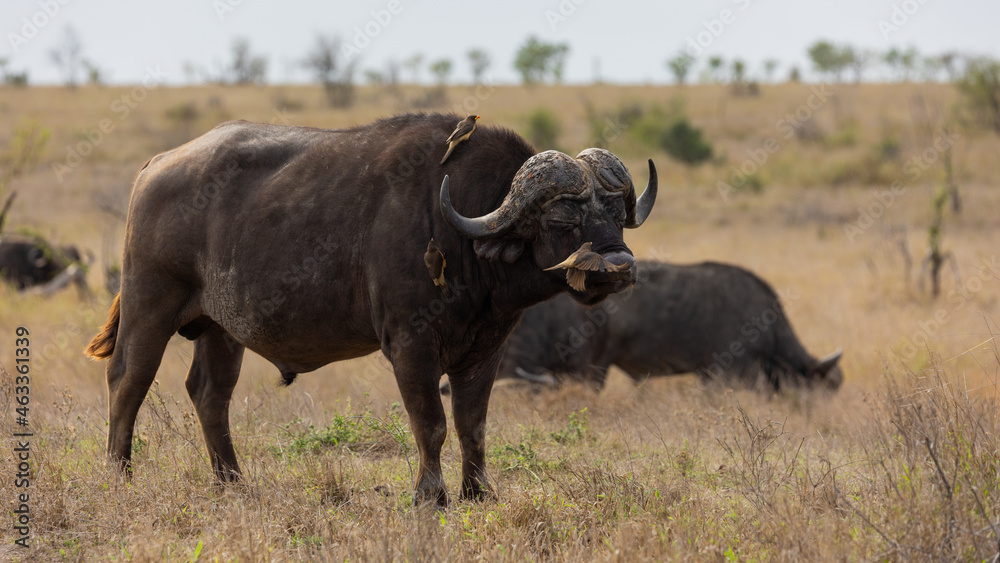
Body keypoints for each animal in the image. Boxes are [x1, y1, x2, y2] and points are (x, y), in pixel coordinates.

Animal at [86, 112, 660, 504]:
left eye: (615, 212)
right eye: (564, 219)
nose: (619, 266)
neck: (458, 227)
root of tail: (154, 168)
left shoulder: (485, 350)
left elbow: (473, 424)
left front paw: (478, 493)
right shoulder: (410, 346)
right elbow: (431, 423)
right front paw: (431, 496)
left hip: (221, 329)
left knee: (210, 394)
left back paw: (232, 483)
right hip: (148, 305)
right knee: (128, 380)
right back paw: (119, 474)